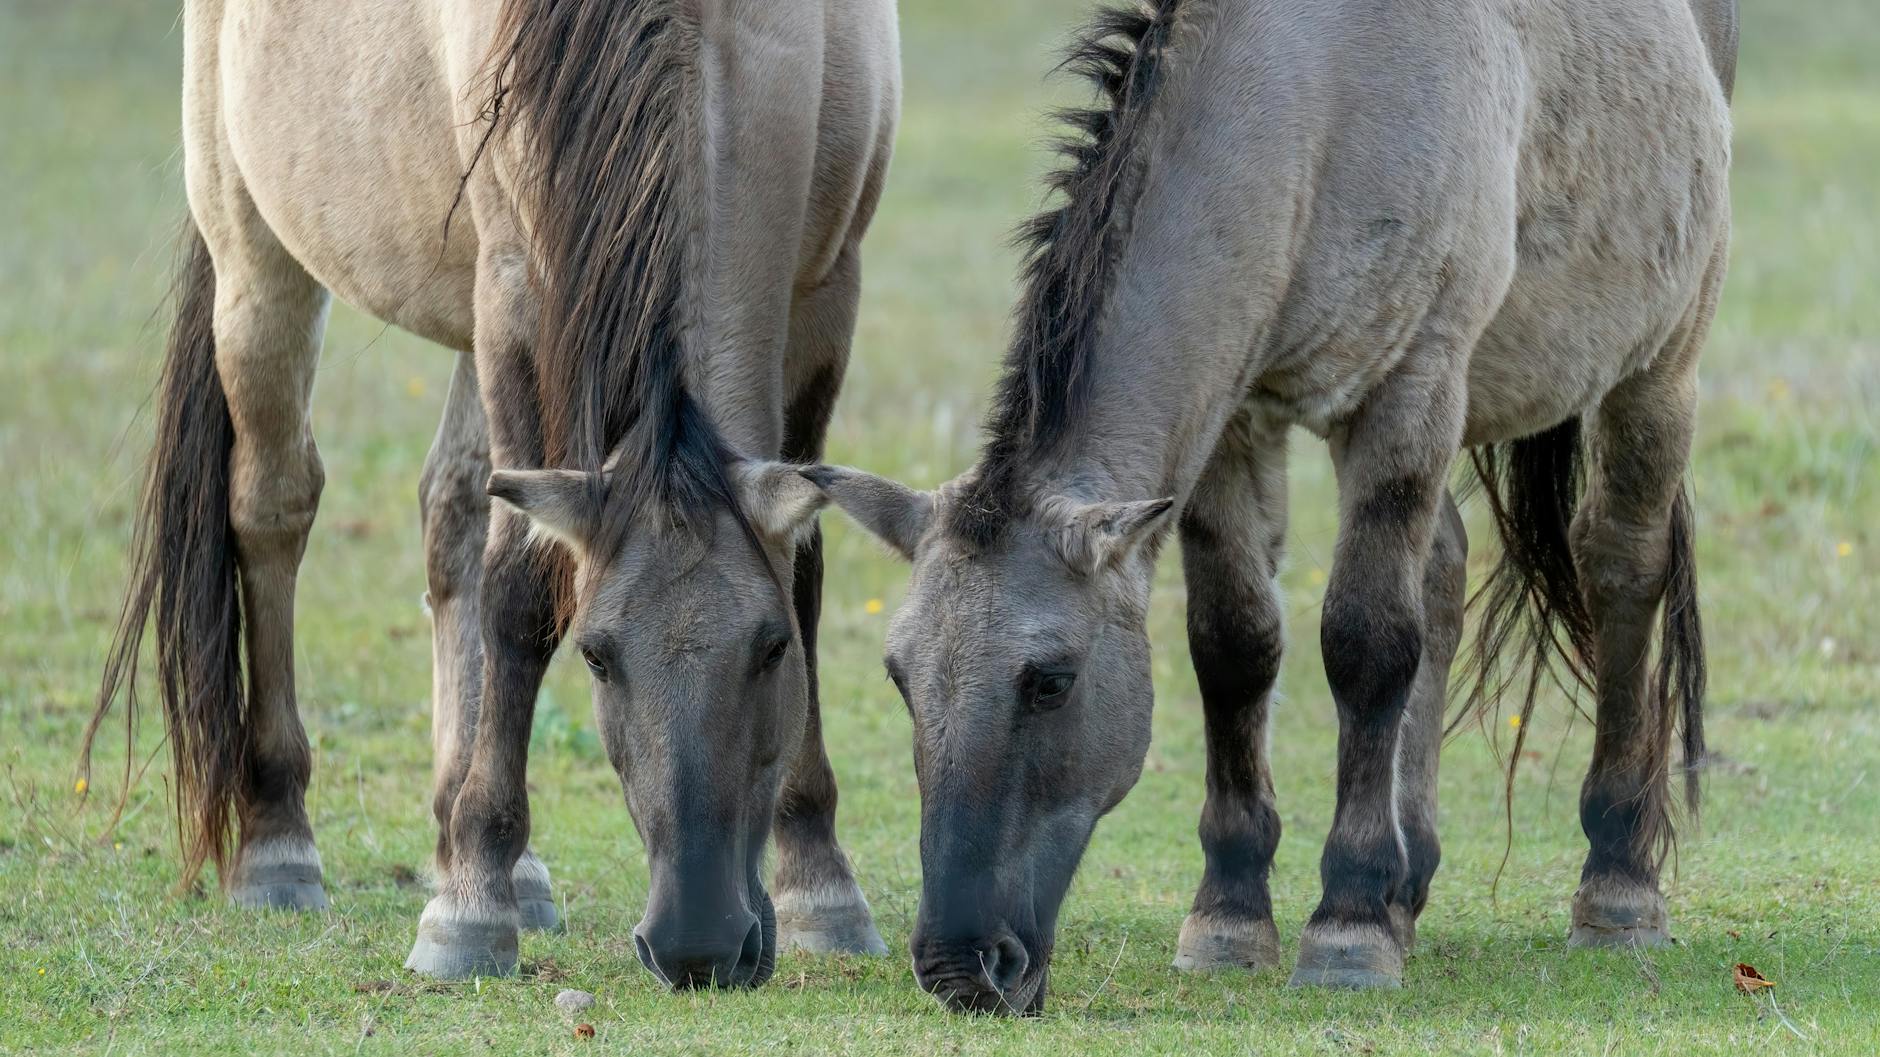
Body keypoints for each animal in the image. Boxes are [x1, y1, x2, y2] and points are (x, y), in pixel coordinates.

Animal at [84, 0, 900, 990]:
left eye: (770, 647)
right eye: (597, 655)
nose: (698, 943)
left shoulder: (828, 291)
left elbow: (807, 576)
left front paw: (822, 879)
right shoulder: (518, 292)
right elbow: (517, 592)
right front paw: (468, 908)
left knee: (453, 516)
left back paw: (494, 852)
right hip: (256, 256)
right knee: (273, 510)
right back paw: (282, 841)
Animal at [809, 0, 1735, 1014]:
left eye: (1049, 680)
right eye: (901, 677)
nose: (962, 966)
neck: (1319, 90)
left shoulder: (1410, 393)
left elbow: (1367, 642)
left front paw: (1348, 924)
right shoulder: (1235, 423)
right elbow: (1235, 646)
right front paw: (1231, 915)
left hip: (1661, 367)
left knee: (1619, 569)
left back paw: (1617, 884)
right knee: (1445, 572)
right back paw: (1410, 884)